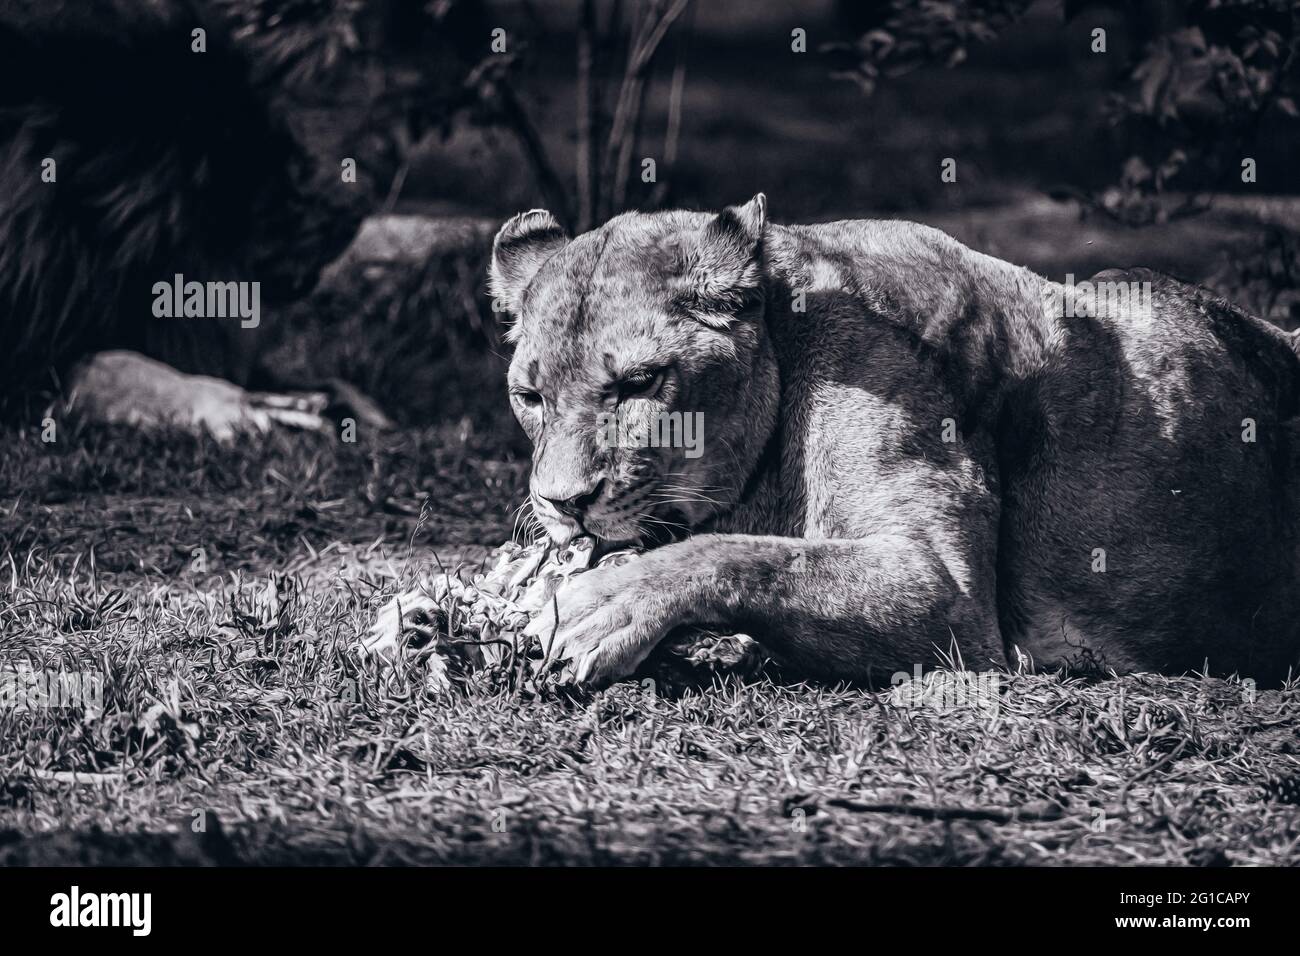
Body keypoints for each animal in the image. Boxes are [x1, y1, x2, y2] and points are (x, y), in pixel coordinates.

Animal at [476, 193, 1300, 687]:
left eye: (640, 383)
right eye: (529, 396)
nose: (562, 504)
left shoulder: (949, 596)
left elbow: (742, 554)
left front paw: (597, 607)